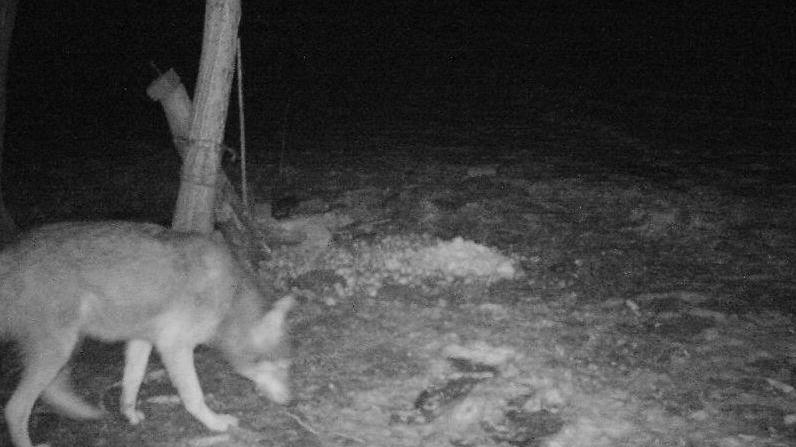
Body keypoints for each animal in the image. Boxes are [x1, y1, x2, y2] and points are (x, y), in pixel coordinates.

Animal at [0, 222, 296, 447]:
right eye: (281, 367)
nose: (291, 402)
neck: (229, 296)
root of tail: (10, 255)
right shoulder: (174, 346)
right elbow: (193, 396)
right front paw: (216, 423)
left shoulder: (141, 341)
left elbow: (131, 383)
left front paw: (129, 415)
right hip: (59, 349)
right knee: (16, 409)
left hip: (67, 347)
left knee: (52, 391)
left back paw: (83, 411)